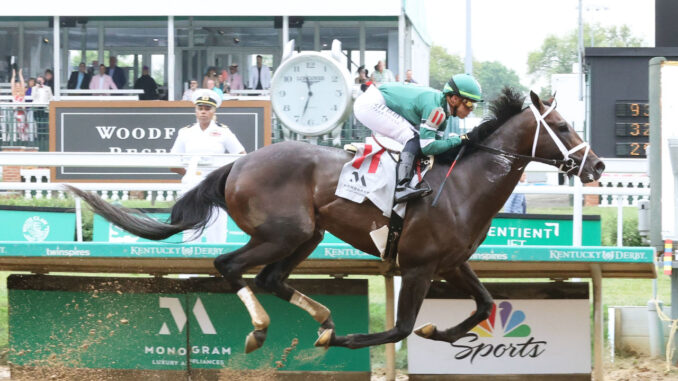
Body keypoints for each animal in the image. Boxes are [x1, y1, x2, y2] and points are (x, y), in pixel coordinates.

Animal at [69, 89, 608, 354]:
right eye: (562, 126)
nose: (599, 166)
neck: (462, 186)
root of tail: (237, 164)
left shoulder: (452, 263)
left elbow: (484, 306)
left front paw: (438, 332)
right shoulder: (417, 267)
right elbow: (399, 329)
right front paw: (349, 340)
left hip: (308, 234)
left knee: (269, 278)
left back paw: (322, 319)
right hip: (282, 232)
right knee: (230, 266)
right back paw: (264, 329)